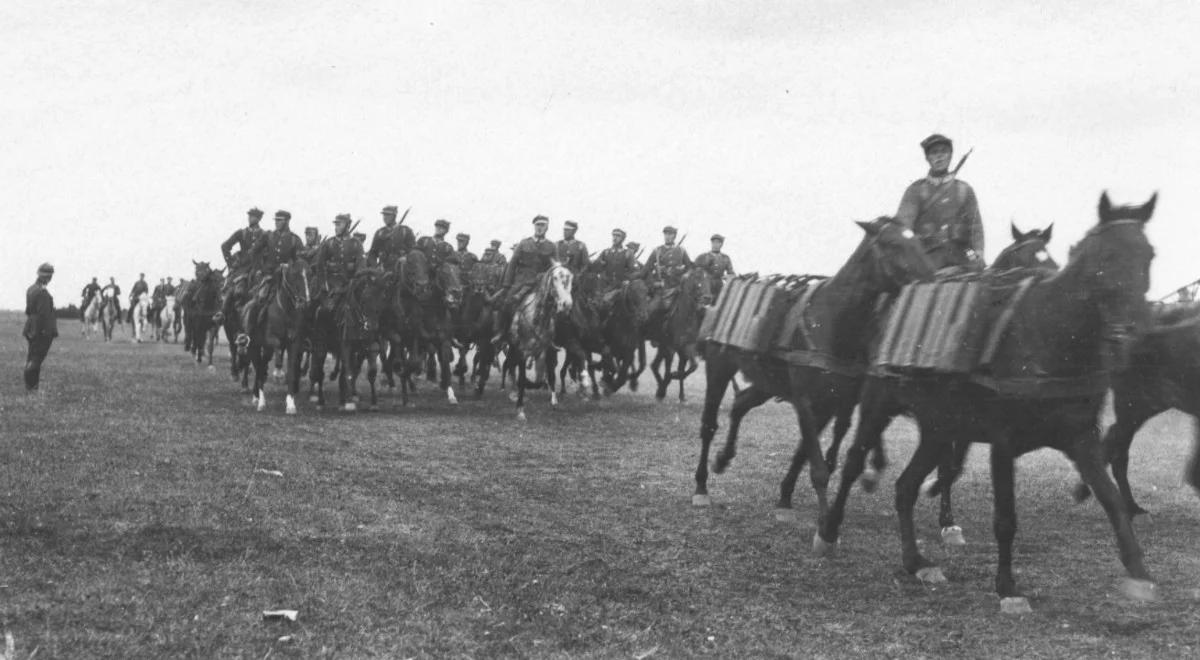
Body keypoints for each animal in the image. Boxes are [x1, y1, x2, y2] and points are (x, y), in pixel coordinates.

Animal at [506, 262, 571, 422]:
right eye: (555, 278)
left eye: (570, 277)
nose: (566, 305)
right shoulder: (522, 351)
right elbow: (522, 378)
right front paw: (520, 410)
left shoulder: (547, 350)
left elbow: (548, 375)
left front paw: (553, 400)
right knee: (510, 366)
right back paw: (513, 392)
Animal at [648, 267, 710, 403]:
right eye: (697, 281)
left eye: (708, 280)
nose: (707, 298)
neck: (685, 318)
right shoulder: (670, 348)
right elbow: (668, 371)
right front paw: (664, 388)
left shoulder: (687, 347)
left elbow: (693, 367)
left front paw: (674, 379)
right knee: (656, 366)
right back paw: (661, 390)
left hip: (666, 349)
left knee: (655, 366)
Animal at [820, 193, 1156, 609]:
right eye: (1106, 257)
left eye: (1149, 256)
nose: (1133, 331)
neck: (1048, 338)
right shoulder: (1003, 443)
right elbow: (1005, 518)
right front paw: (1007, 587)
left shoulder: (1081, 439)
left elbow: (1111, 500)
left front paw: (1139, 572)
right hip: (878, 406)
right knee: (853, 462)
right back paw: (829, 532)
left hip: (937, 426)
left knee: (905, 487)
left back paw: (916, 561)